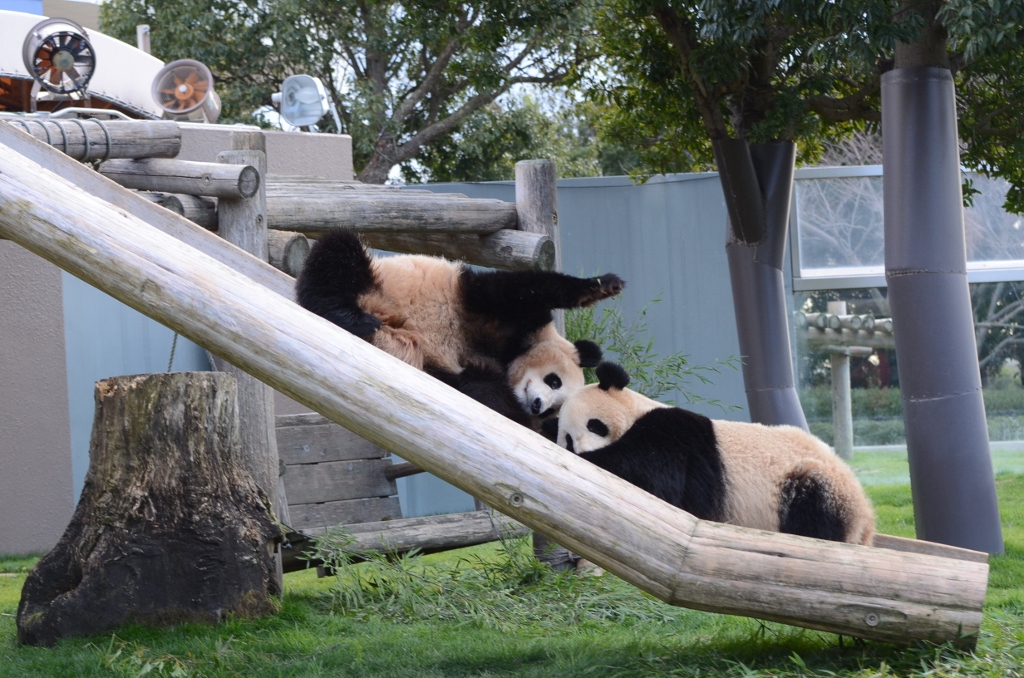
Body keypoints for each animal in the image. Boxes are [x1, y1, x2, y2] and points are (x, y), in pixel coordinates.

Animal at [292, 232, 618, 426]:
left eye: (554, 408)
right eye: (554, 381)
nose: (538, 406)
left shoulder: (476, 369)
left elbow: (482, 391)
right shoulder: (489, 308)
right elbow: (522, 288)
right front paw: (600, 286)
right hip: (377, 280)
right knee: (337, 254)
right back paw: (351, 316)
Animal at [548, 360, 876, 548]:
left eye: (594, 425)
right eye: (568, 440)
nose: (583, 450)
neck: (636, 411)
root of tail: (867, 524)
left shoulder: (674, 437)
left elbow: (652, 476)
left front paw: (595, 461)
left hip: (814, 485)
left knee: (813, 502)